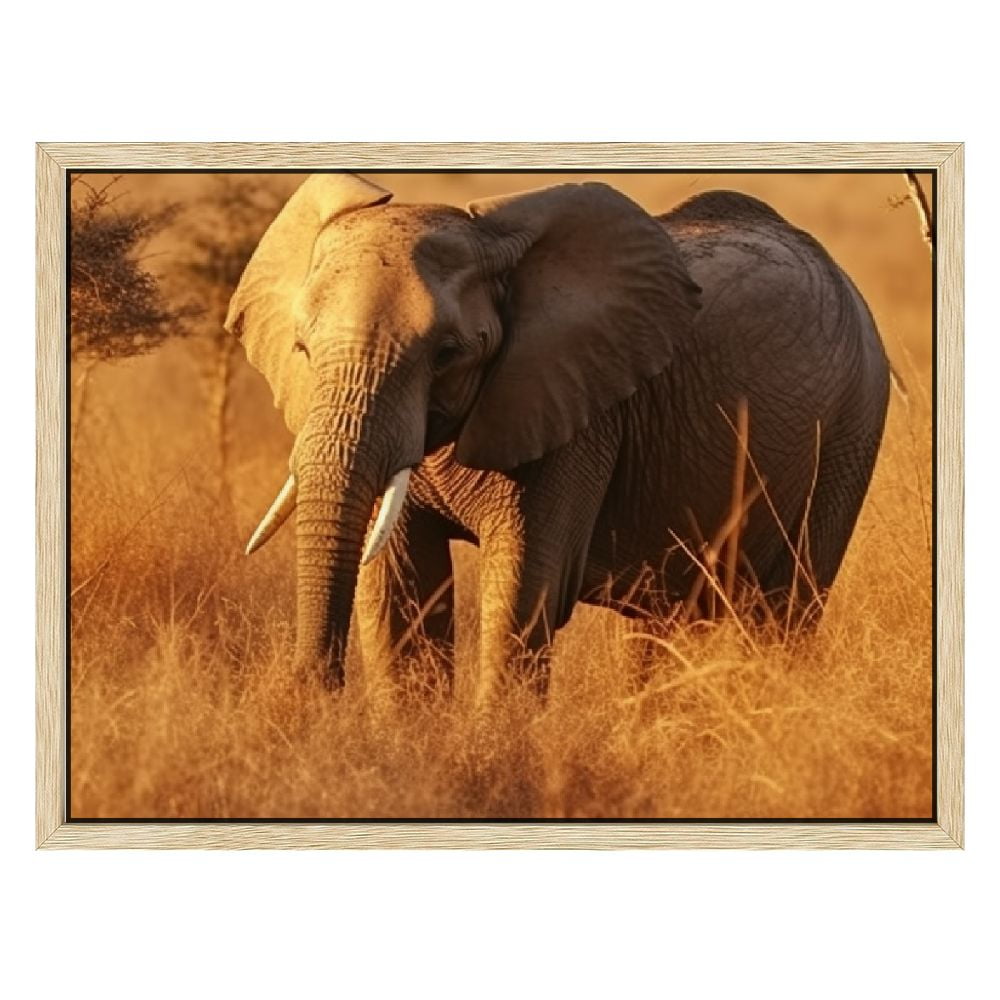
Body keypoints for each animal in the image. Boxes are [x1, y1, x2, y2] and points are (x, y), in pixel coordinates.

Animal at [226, 173, 889, 699]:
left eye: (447, 354)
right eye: (302, 349)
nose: (315, 688)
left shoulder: (579, 414)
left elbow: (523, 587)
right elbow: (400, 592)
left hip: (852, 429)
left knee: (785, 611)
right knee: (663, 623)